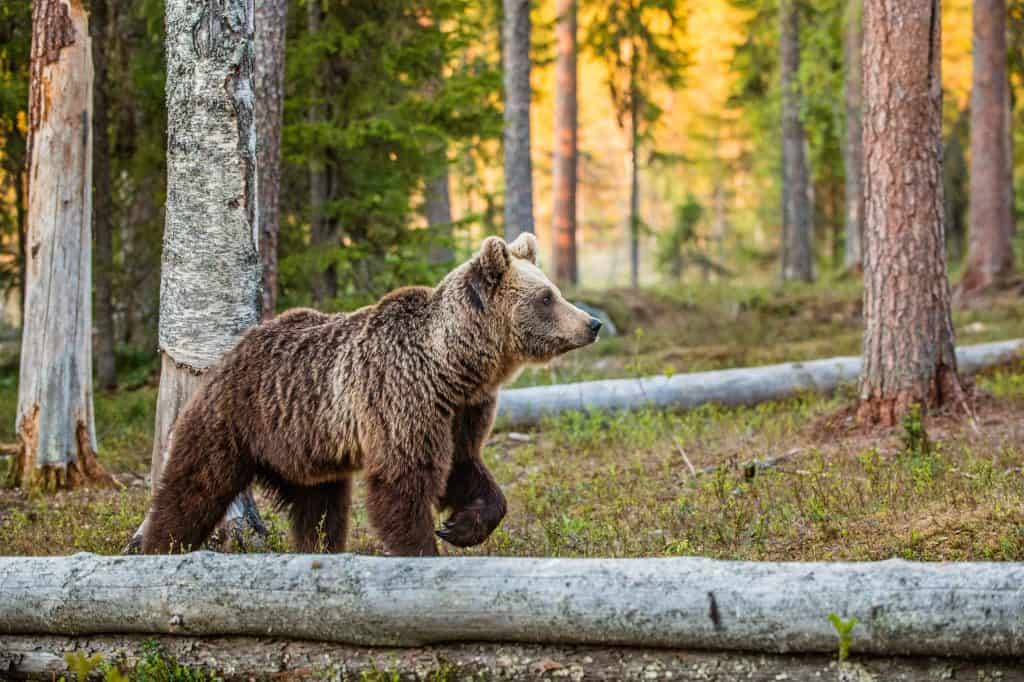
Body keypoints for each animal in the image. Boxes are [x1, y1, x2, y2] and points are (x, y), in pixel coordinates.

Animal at [142, 232, 598, 552]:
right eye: (547, 297)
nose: (591, 323)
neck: (455, 366)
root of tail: (231, 352)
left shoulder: (462, 410)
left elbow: (464, 465)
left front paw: (460, 526)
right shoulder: (403, 395)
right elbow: (402, 480)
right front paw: (422, 548)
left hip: (308, 450)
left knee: (321, 511)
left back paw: (321, 549)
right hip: (234, 418)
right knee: (195, 485)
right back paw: (160, 545)